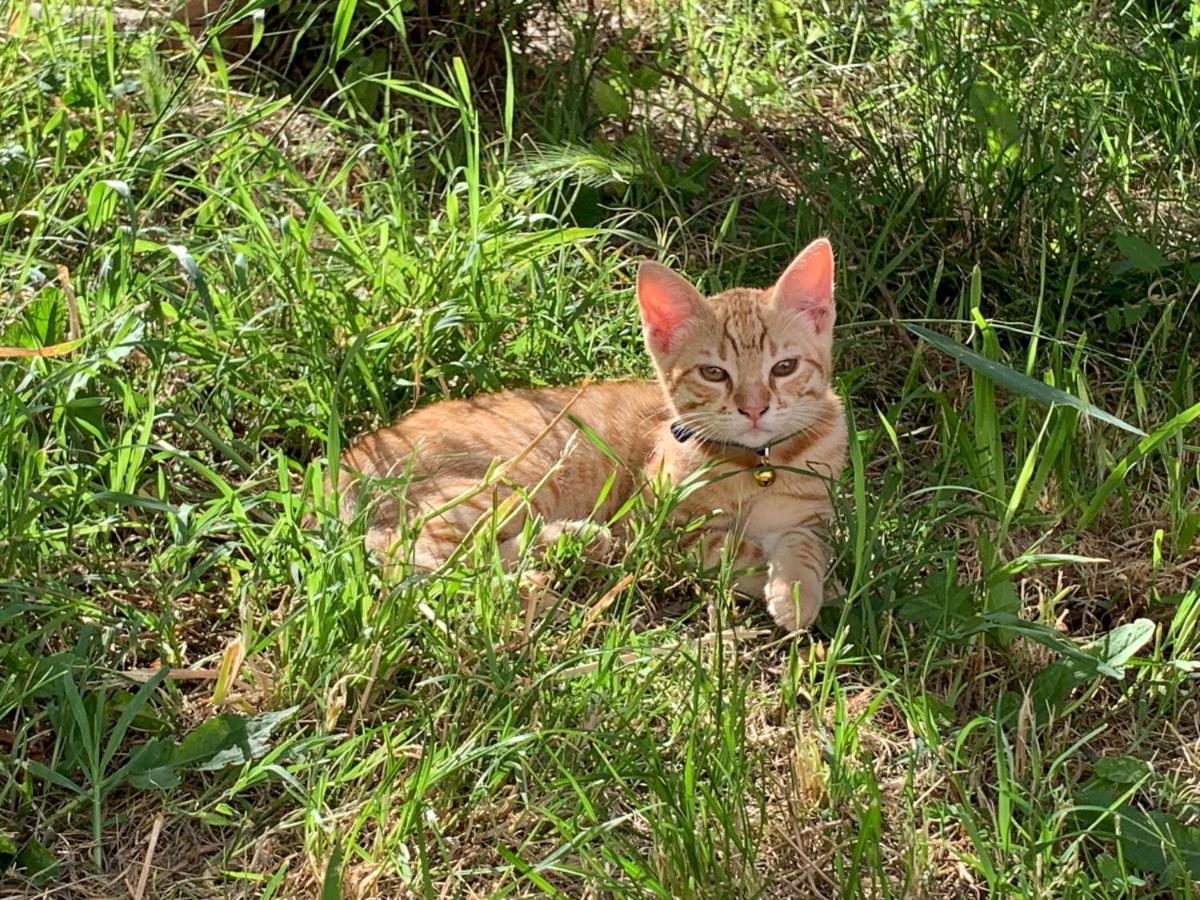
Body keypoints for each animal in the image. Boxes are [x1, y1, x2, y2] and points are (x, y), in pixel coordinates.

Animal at [333, 241, 849, 633]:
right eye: (713, 373)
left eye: (784, 367)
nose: (755, 408)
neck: (760, 464)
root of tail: (348, 458)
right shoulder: (657, 529)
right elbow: (737, 550)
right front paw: (806, 589)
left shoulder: (816, 516)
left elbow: (805, 541)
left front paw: (802, 584)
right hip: (521, 478)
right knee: (414, 556)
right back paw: (535, 592)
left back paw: (574, 541)